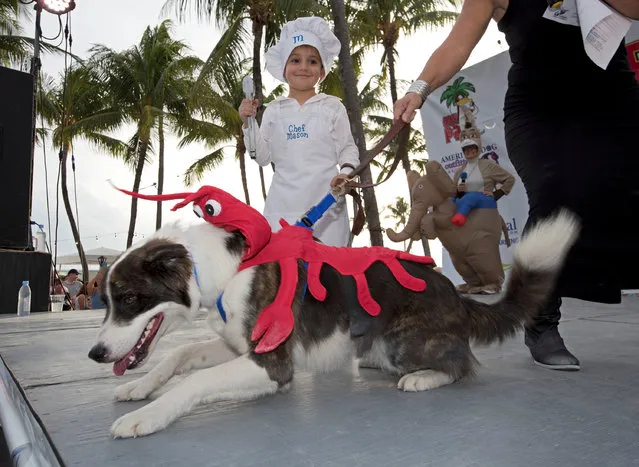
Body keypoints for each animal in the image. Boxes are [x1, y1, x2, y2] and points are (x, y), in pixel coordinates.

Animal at [89, 212, 580, 438]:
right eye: (106, 300)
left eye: (129, 299)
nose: (96, 354)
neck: (226, 269)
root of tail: (454, 292)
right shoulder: (238, 348)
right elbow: (179, 355)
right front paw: (138, 388)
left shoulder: (272, 363)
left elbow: (194, 381)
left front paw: (146, 416)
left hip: (405, 340)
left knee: (463, 365)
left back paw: (423, 377)